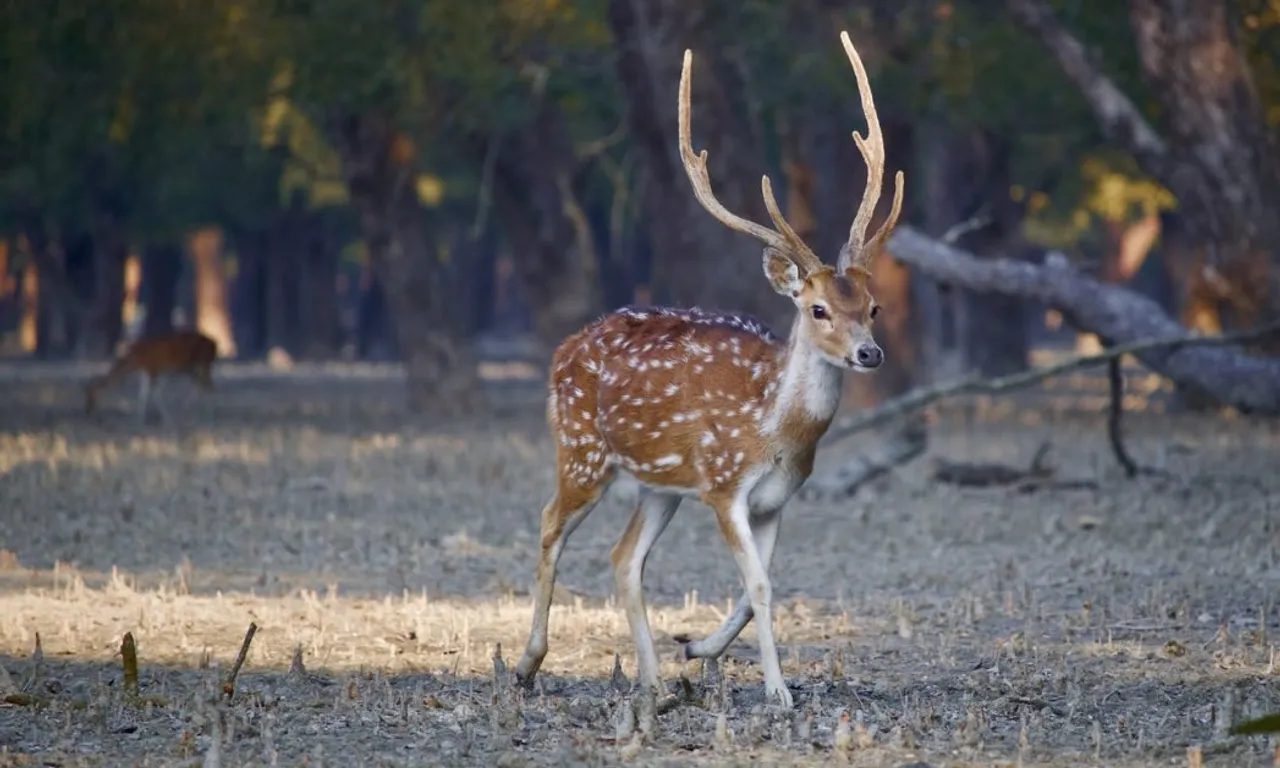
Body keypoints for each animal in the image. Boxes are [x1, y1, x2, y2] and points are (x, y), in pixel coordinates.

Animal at [514, 32, 906, 711]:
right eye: (819, 308)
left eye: (873, 306)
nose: (869, 353)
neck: (775, 431)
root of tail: (563, 350)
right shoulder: (724, 486)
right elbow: (761, 587)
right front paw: (778, 691)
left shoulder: (776, 498)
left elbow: (761, 586)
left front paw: (697, 650)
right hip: (584, 451)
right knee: (548, 524)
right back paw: (527, 664)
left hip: (659, 485)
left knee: (624, 557)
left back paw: (652, 681)